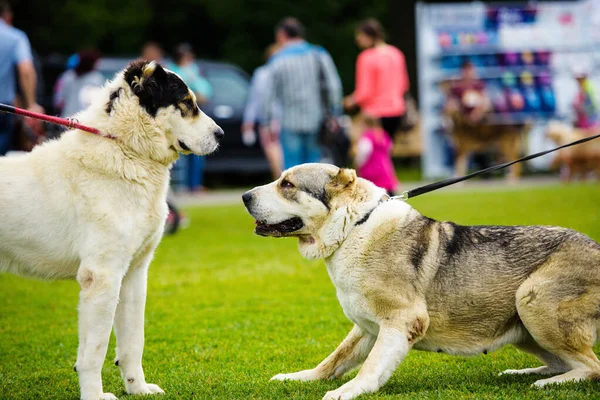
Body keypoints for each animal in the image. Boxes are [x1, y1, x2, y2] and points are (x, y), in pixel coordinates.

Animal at [0, 60, 223, 400]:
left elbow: (133, 341)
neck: (127, 148)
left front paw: (138, 388)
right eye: (186, 103)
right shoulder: (102, 277)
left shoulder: (133, 275)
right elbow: (94, 351)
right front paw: (94, 395)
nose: (221, 134)